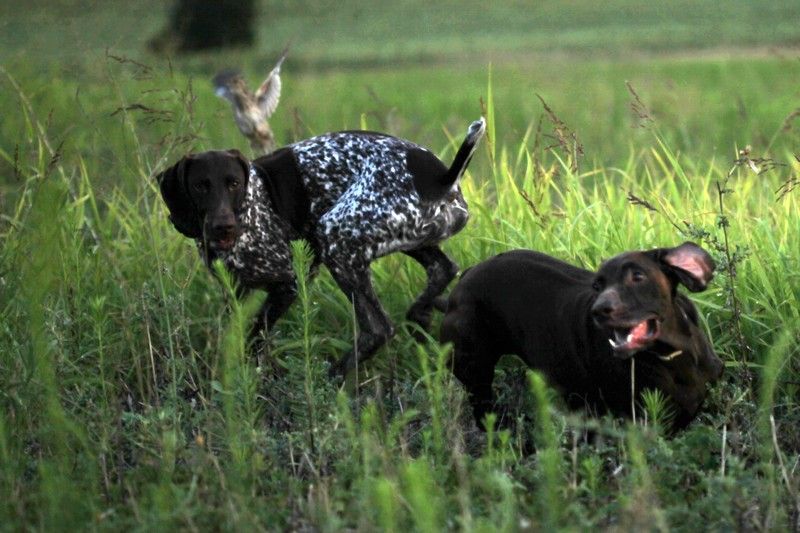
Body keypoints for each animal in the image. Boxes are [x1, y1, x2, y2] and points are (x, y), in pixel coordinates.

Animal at [155, 117, 482, 374]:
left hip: (336, 239)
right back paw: (419, 314)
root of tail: (442, 178)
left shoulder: (287, 283)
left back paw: (333, 378)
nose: (224, 226)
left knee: (378, 330)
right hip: (406, 239)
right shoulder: (236, 293)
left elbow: (254, 337)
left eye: (234, 183)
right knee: (444, 268)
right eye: (200, 186)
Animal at [440, 243, 728, 430]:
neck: (673, 353)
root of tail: (466, 277)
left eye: (637, 276)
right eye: (597, 285)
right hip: (474, 370)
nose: (599, 310)